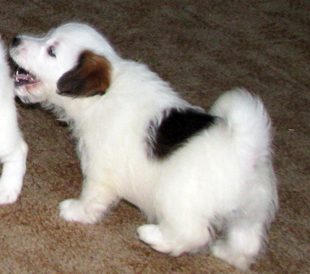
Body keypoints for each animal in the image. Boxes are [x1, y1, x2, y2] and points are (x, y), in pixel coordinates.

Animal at [9, 23, 278, 270]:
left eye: (51, 51)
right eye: (46, 36)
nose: (15, 39)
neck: (101, 96)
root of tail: (245, 148)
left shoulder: (100, 170)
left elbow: (92, 197)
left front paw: (77, 211)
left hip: (178, 200)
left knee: (193, 233)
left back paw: (154, 237)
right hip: (251, 211)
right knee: (247, 239)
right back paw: (228, 254)